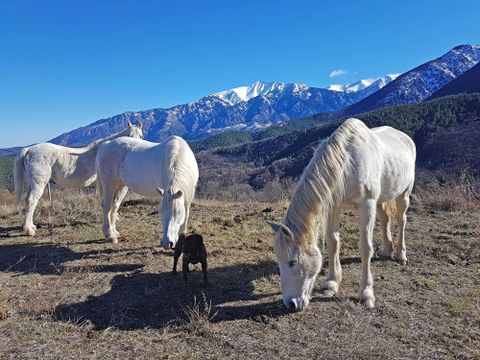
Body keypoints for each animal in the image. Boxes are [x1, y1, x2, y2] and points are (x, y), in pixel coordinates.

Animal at [13, 120, 142, 236]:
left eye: (141, 135)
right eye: (129, 136)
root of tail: (28, 150)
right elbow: (113, 202)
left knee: (28, 201)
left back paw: (31, 226)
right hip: (38, 184)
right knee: (31, 201)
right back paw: (29, 230)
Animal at [268, 117, 414, 310]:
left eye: (293, 262)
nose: (291, 304)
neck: (347, 164)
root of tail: (405, 137)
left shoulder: (367, 205)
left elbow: (365, 248)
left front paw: (366, 293)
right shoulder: (334, 206)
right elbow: (333, 243)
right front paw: (331, 283)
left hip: (403, 193)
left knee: (401, 219)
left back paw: (400, 255)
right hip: (382, 198)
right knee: (385, 219)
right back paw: (386, 250)